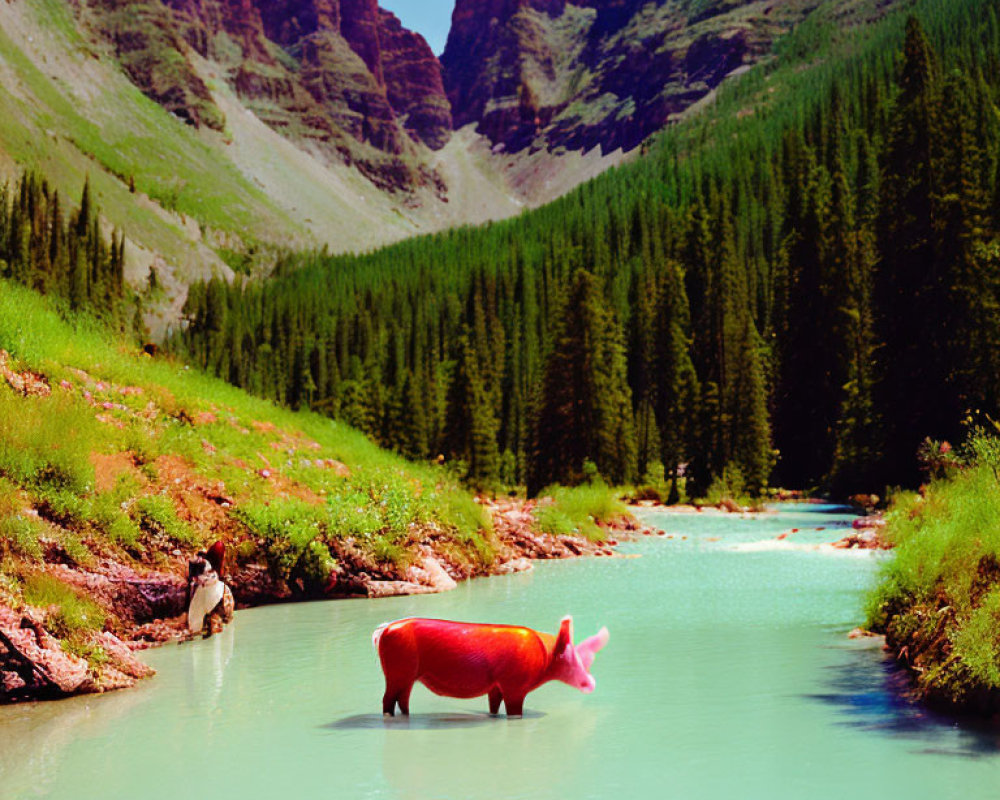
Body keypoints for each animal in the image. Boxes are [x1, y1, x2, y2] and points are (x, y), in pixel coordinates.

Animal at [376, 616, 608, 716]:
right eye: (571, 658)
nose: (592, 683)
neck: (544, 657)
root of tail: (385, 629)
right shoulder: (515, 687)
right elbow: (514, 713)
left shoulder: (496, 686)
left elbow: (494, 707)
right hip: (398, 672)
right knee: (387, 699)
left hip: (407, 676)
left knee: (402, 699)